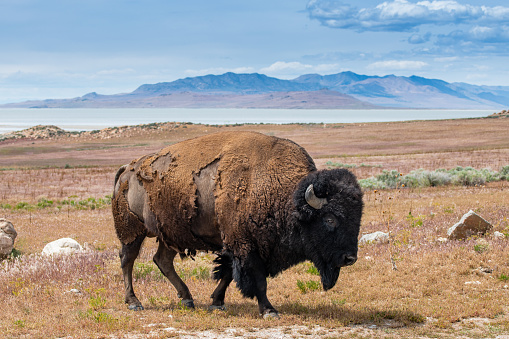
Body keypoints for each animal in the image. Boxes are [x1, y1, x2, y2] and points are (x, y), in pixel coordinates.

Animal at [113, 131, 364, 318]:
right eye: (330, 219)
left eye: (357, 217)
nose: (350, 258)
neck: (283, 194)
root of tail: (127, 169)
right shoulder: (245, 247)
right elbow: (257, 281)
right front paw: (269, 310)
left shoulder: (234, 247)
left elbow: (227, 274)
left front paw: (217, 303)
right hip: (132, 231)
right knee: (128, 260)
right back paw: (134, 302)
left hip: (171, 234)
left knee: (162, 260)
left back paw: (187, 299)